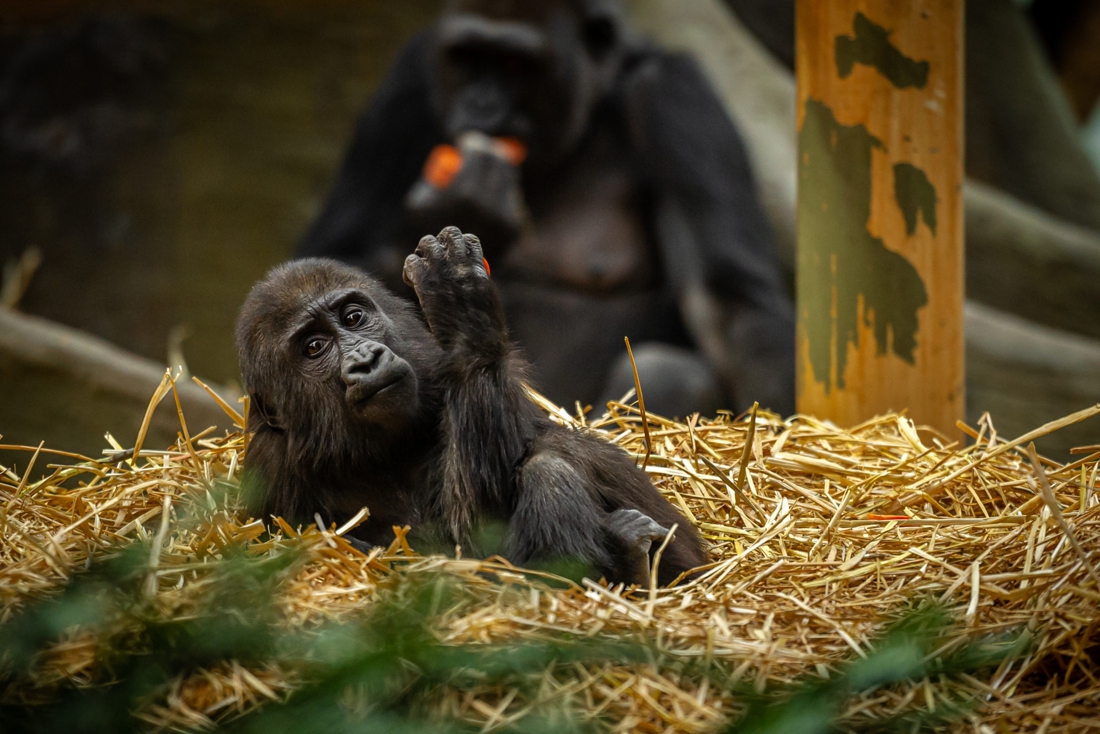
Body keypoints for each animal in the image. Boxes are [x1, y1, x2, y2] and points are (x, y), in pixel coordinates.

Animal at [236, 226, 708, 589]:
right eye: (314, 348)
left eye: (353, 317)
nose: (366, 360)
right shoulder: (268, 470)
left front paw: (462, 308)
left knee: (551, 467)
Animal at [301, 0, 792, 418]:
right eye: (467, 56)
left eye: (516, 65)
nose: (480, 106)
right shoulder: (406, 85)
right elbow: (329, 260)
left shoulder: (673, 96)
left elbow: (727, 299)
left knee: (671, 374)